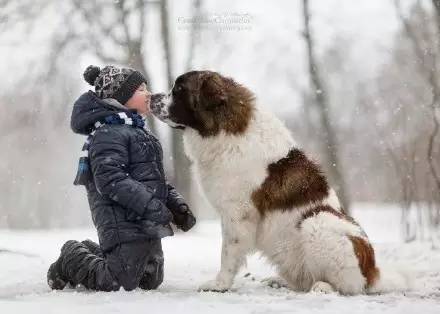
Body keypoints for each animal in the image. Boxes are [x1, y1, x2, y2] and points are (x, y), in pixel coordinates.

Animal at [150, 70, 410, 294]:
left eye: (179, 89)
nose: (152, 97)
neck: (224, 130)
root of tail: (374, 273)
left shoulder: (238, 214)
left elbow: (228, 252)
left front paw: (219, 284)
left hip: (318, 221)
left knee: (350, 286)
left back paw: (324, 287)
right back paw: (281, 281)